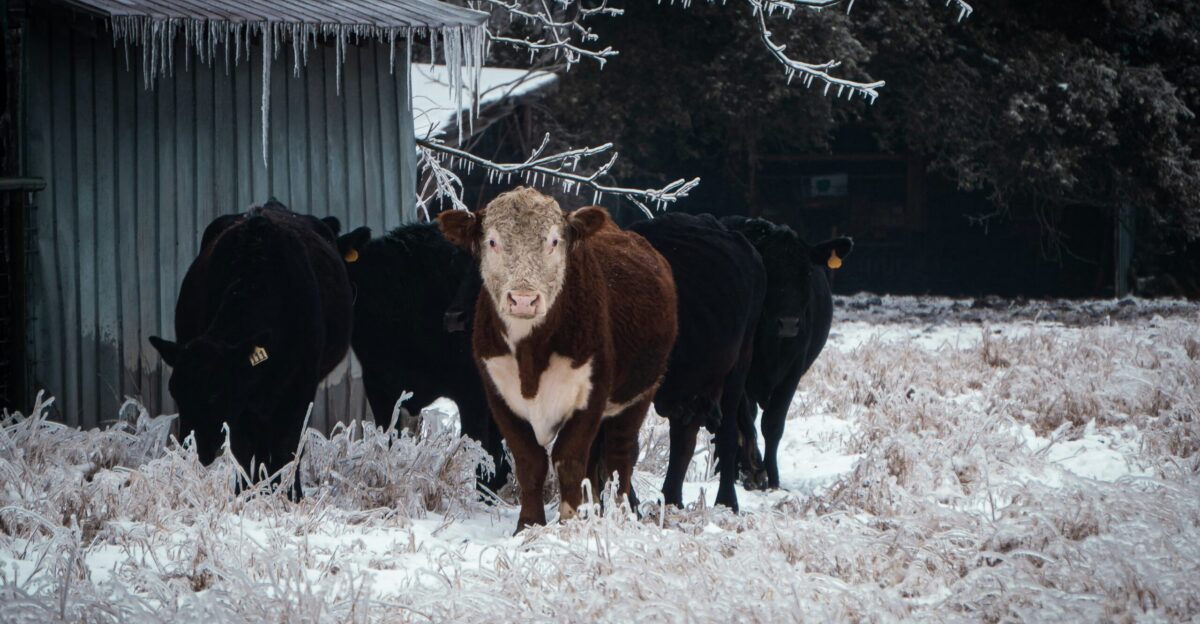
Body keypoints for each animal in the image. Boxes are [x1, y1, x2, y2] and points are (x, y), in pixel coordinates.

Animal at [149, 201, 353, 499]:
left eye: (214, 392)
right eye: (174, 392)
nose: (194, 446)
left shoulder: (300, 387)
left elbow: (290, 446)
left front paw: (290, 495)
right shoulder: (241, 400)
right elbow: (243, 449)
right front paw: (244, 493)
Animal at [438, 187, 677, 533]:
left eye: (553, 240)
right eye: (492, 241)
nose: (523, 300)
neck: (530, 358)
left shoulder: (590, 394)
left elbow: (568, 459)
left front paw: (568, 522)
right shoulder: (498, 395)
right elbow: (530, 462)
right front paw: (529, 525)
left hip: (639, 394)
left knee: (620, 457)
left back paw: (620, 515)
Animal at [720, 216, 853, 490]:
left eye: (807, 272)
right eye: (768, 271)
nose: (789, 323)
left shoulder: (793, 369)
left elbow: (773, 424)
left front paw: (772, 479)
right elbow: (743, 421)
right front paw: (752, 470)